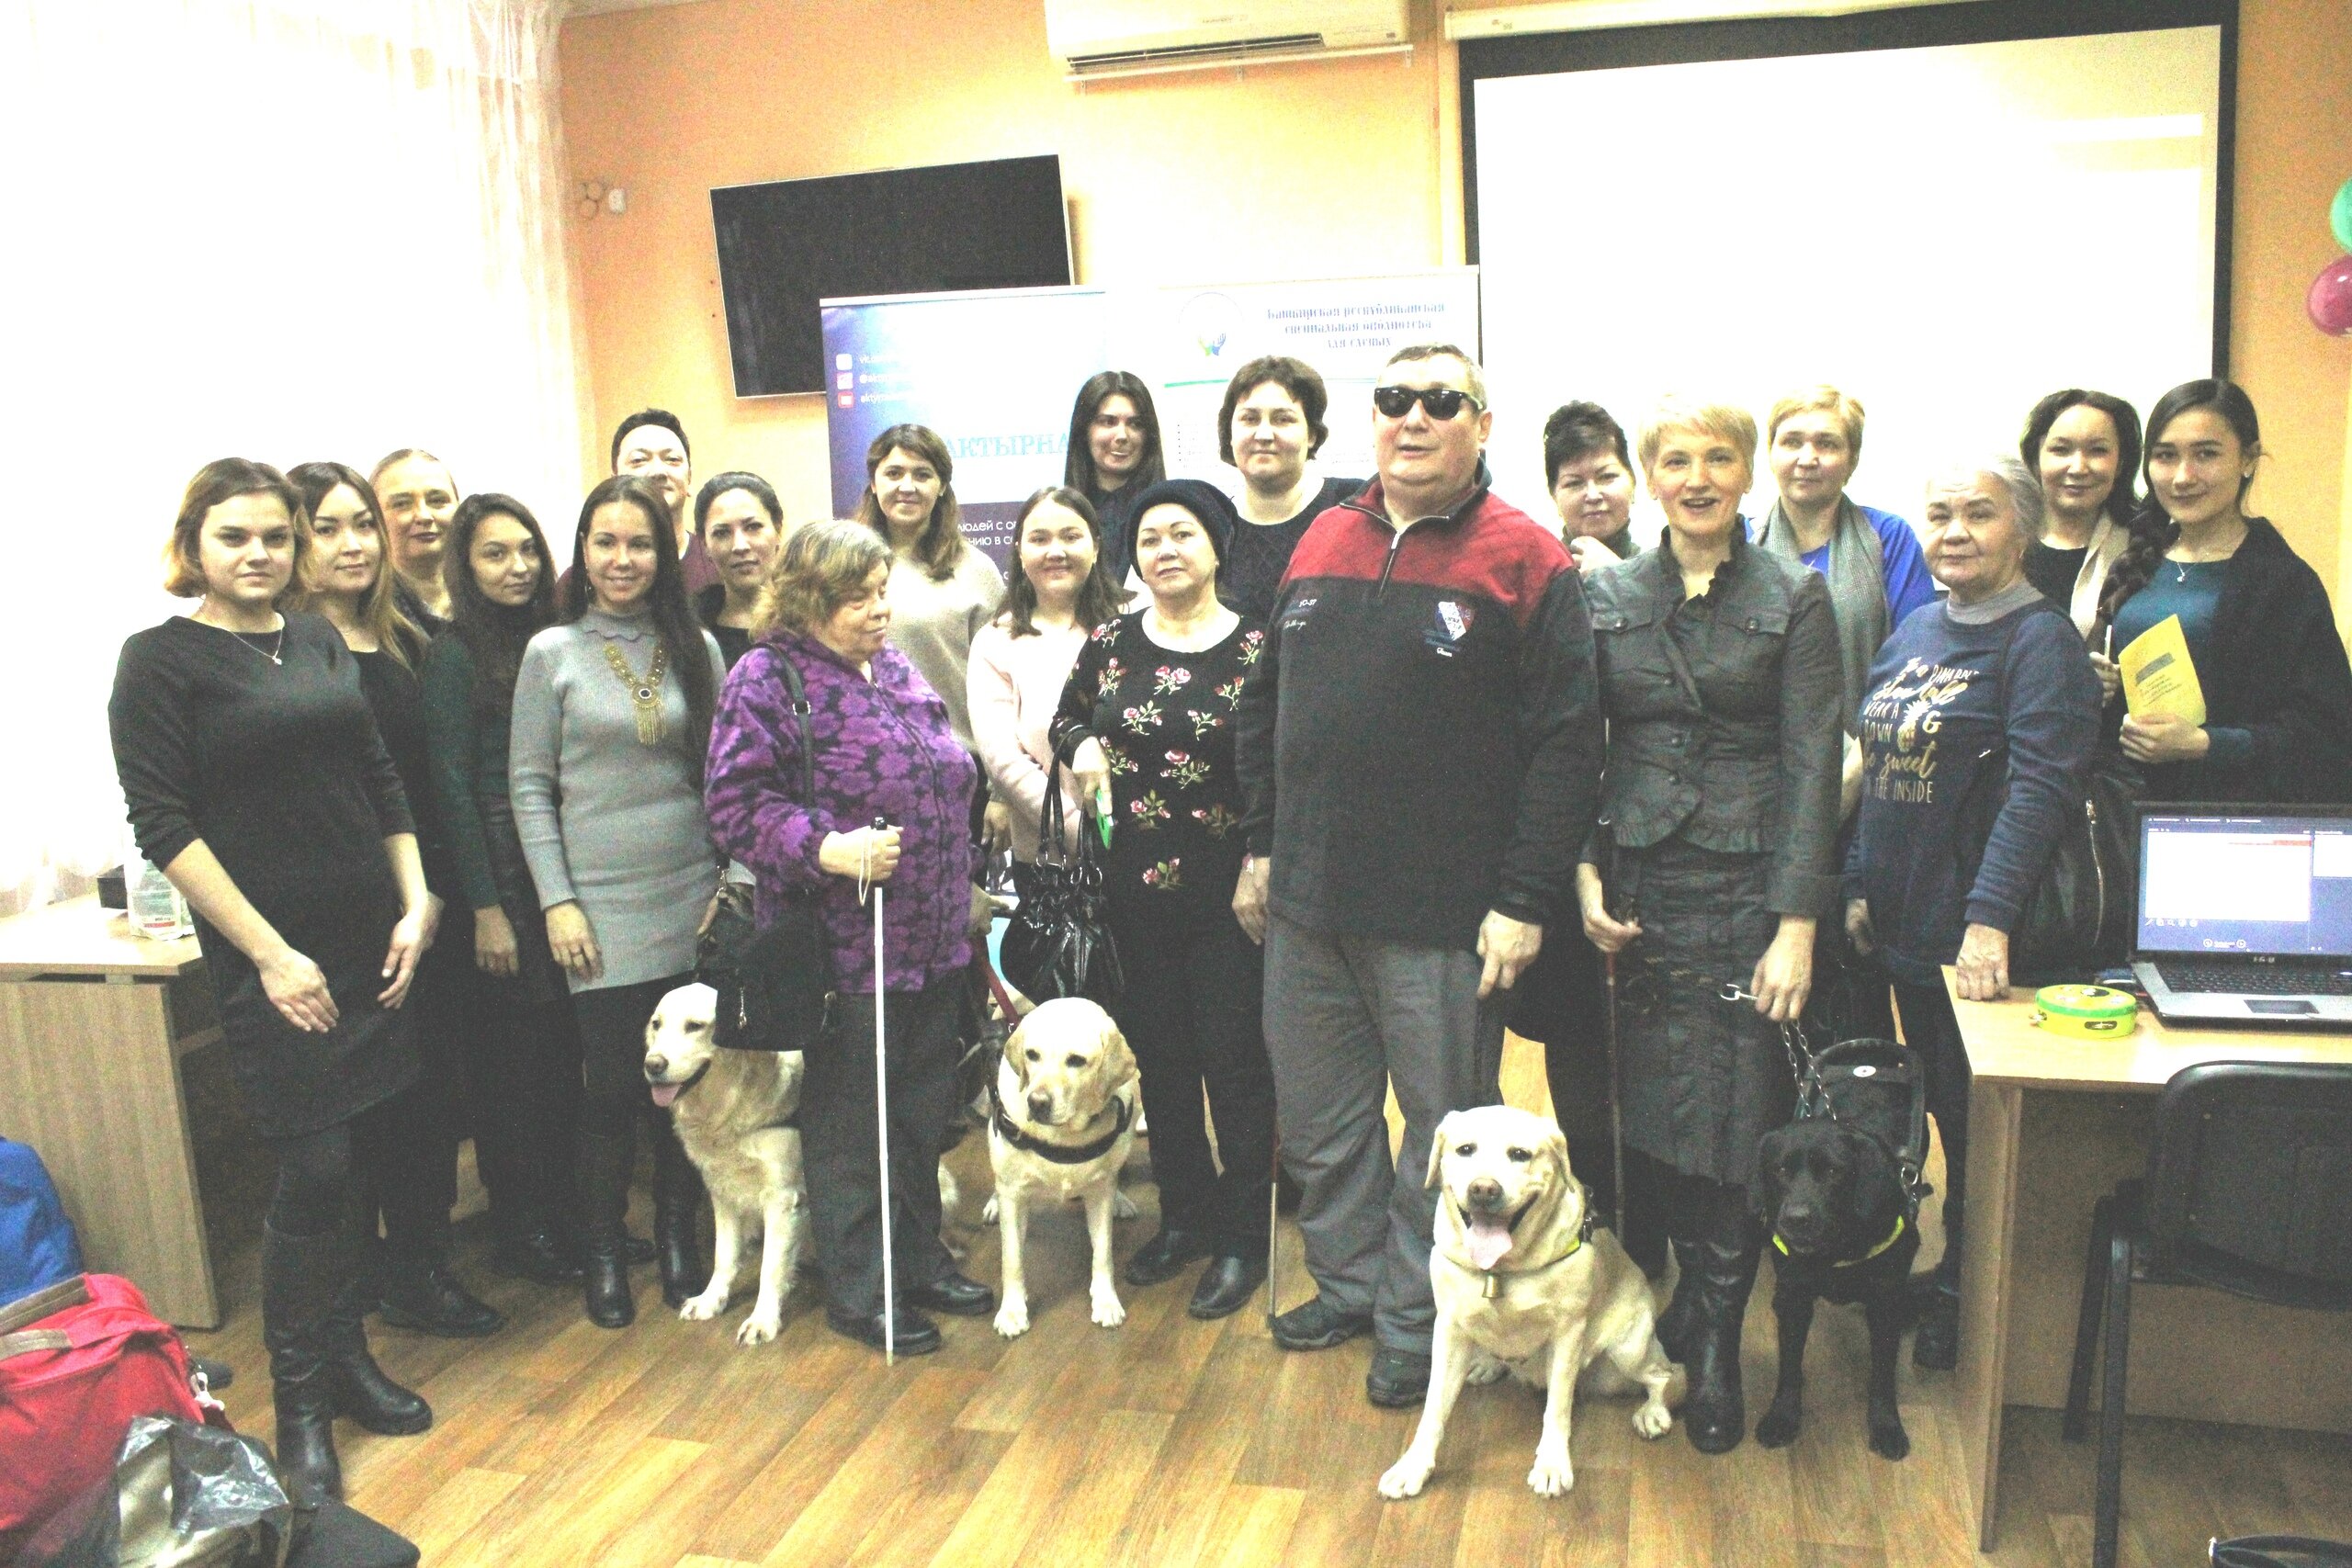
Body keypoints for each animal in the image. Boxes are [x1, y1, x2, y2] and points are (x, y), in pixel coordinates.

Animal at [644, 983, 806, 1347]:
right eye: (656, 1024)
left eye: (695, 1026)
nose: (652, 1065)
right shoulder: (722, 1188)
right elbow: (724, 1255)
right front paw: (710, 1300)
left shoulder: (781, 1196)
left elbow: (770, 1266)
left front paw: (762, 1320)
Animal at [986, 997, 1139, 1338]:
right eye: (1032, 1055)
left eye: (1076, 1061)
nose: (1037, 1102)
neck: (1063, 1136)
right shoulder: (1013, 1195)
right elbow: (1011, 1259)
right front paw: (1012, 1311)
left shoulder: (1099, 1193)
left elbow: (1103, 1253)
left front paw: (1106, 1301)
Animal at [1380, 1105, 1680, 1501]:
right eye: (1465, 1149)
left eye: (1520, 1154)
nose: (1483, 1189)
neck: (1501, 1271)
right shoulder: (1448, 1328)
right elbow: (1432, 1409)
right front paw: (1412, 1466)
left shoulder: (1568, 1334)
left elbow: (1557, 1409)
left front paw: (1552, 1465)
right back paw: (1488, 1364)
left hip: (1627, 1350)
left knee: (1664, 1374)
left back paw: (1653, 1412)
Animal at [1749, 1043, 1926, 1460]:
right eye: (1780, 1170)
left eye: (1833, 1172)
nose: (1795, 1219)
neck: (1836, 1249)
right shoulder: (1793, 1298)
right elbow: (1788, 1366)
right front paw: (1782, 1416)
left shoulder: (1885, 1302)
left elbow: (1882, 1375)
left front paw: (1887, 1427)